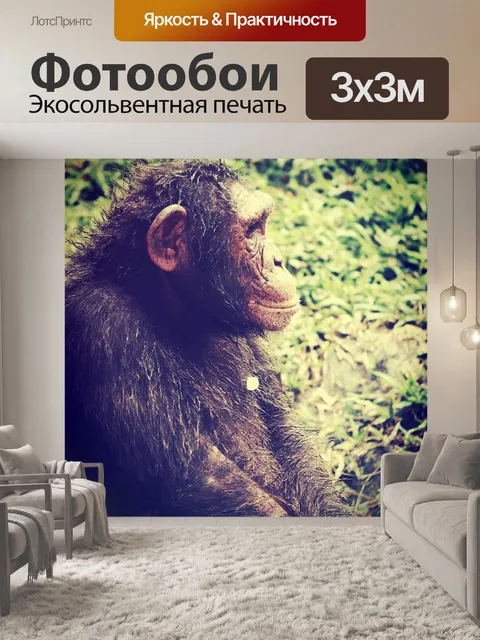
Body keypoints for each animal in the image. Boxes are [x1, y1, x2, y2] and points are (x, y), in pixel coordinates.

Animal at [65, 160, 346, 516]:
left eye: (262, 224)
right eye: (252, 230)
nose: (279, 260)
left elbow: (286, 438)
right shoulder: (105, 324)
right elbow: (201, 477)